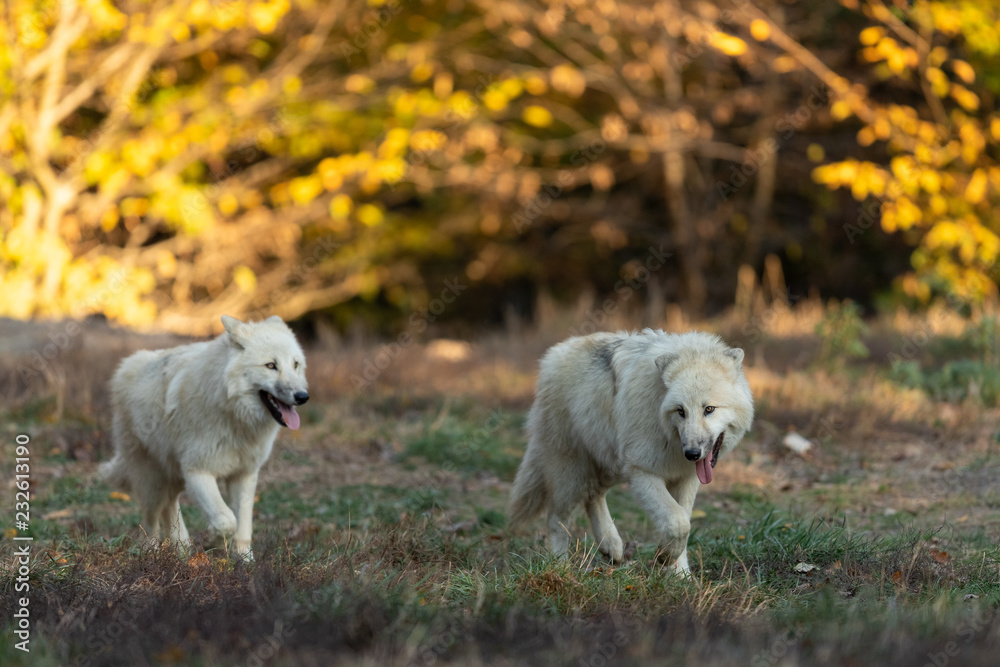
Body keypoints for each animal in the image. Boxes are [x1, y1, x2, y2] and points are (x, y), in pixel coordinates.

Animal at [100, 316, 308, 560]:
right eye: (270, 365)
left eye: (295, 364)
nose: (303, 396)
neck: (234, 419)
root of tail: (126, 366)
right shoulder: (198, 471)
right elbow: (226, 520)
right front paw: (212, 542)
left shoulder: (245, 474)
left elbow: (243, 525)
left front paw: (245, 561)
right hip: (152, 480)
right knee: (150, 522)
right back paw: (152, 553)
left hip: (172, 476)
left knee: (170, 506)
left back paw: (181, 550)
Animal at [512, 328, 752, 576]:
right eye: (681, 411)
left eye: (709, 409)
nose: (692, 453)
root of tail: (553, 354)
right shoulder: (641, 472)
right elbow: (678, 522)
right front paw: (664, 557)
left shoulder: (685, 478)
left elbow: (683, 521)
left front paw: (680, 575)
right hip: (572, 473)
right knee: (557, 518)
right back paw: (559, 567)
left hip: (611, 465)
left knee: (593, 495)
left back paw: (611, 546)